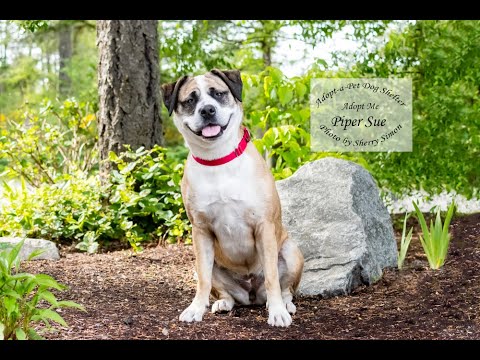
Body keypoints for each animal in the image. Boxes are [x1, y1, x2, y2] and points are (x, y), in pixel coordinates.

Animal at [162, 69, 304, 328]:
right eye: (190, 100)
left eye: (218, 94)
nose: (207, 110)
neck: (218, 159)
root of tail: (251, 296)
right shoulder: (201, 231)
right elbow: (204, 280)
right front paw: (196, 308)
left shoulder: (264, 226)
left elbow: (272, 277)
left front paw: (278, 312)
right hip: (206, 264)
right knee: (222, 289)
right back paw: (223, 303)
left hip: (291, 252)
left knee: (285, 288)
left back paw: (283, 304)